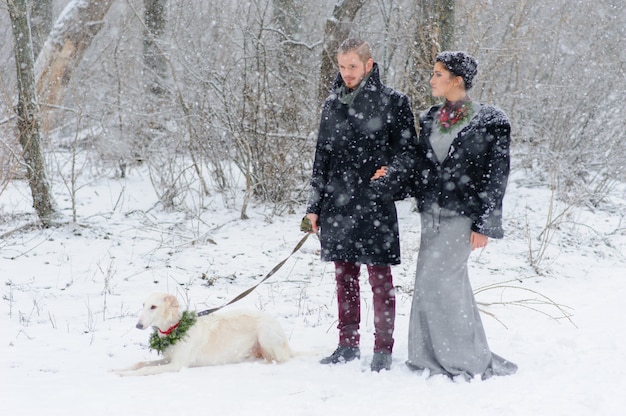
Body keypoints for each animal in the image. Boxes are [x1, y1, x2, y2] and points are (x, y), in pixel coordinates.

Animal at [114, 292, 292, 376]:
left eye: (153, 307)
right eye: (143, 305)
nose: (138, 325)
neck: (175, 328)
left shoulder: (177, 365)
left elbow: (145, 370)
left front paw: (124, 374)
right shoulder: (168, 359)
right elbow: (140, 364)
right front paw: (116, 370)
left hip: (265, 333)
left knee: (278, 359)